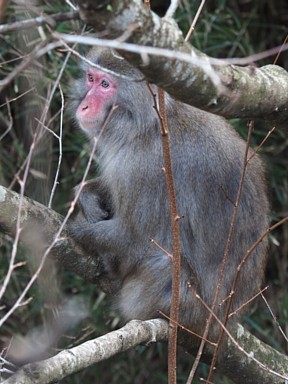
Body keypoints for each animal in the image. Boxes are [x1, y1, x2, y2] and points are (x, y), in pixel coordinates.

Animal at [68, 46, 270, 344]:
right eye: (91, 79)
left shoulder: (144, 166)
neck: (148, 125)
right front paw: (87, 195)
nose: (84, 105)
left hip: (180, 306)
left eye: (106, 85)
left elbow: (133, 238)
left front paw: (76, 230)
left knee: (165, 262)